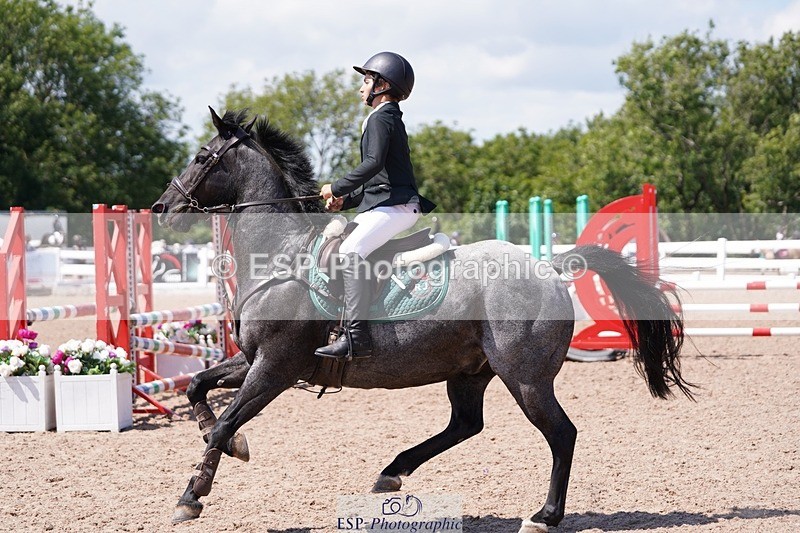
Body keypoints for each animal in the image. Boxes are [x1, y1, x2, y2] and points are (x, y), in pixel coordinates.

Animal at [152, 108, 693, 532]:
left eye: (201, 157)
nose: (162, 207)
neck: (281, 256)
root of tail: (548, 267)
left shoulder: (276, 367)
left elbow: (225, 421)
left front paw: (192, 496)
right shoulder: (255, 360)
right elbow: (198, 387)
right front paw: (227, 444)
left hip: (525, 377)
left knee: (561, 434)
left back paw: (544, 515)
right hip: (470, 372)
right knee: (466, 424)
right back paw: (392, 471)